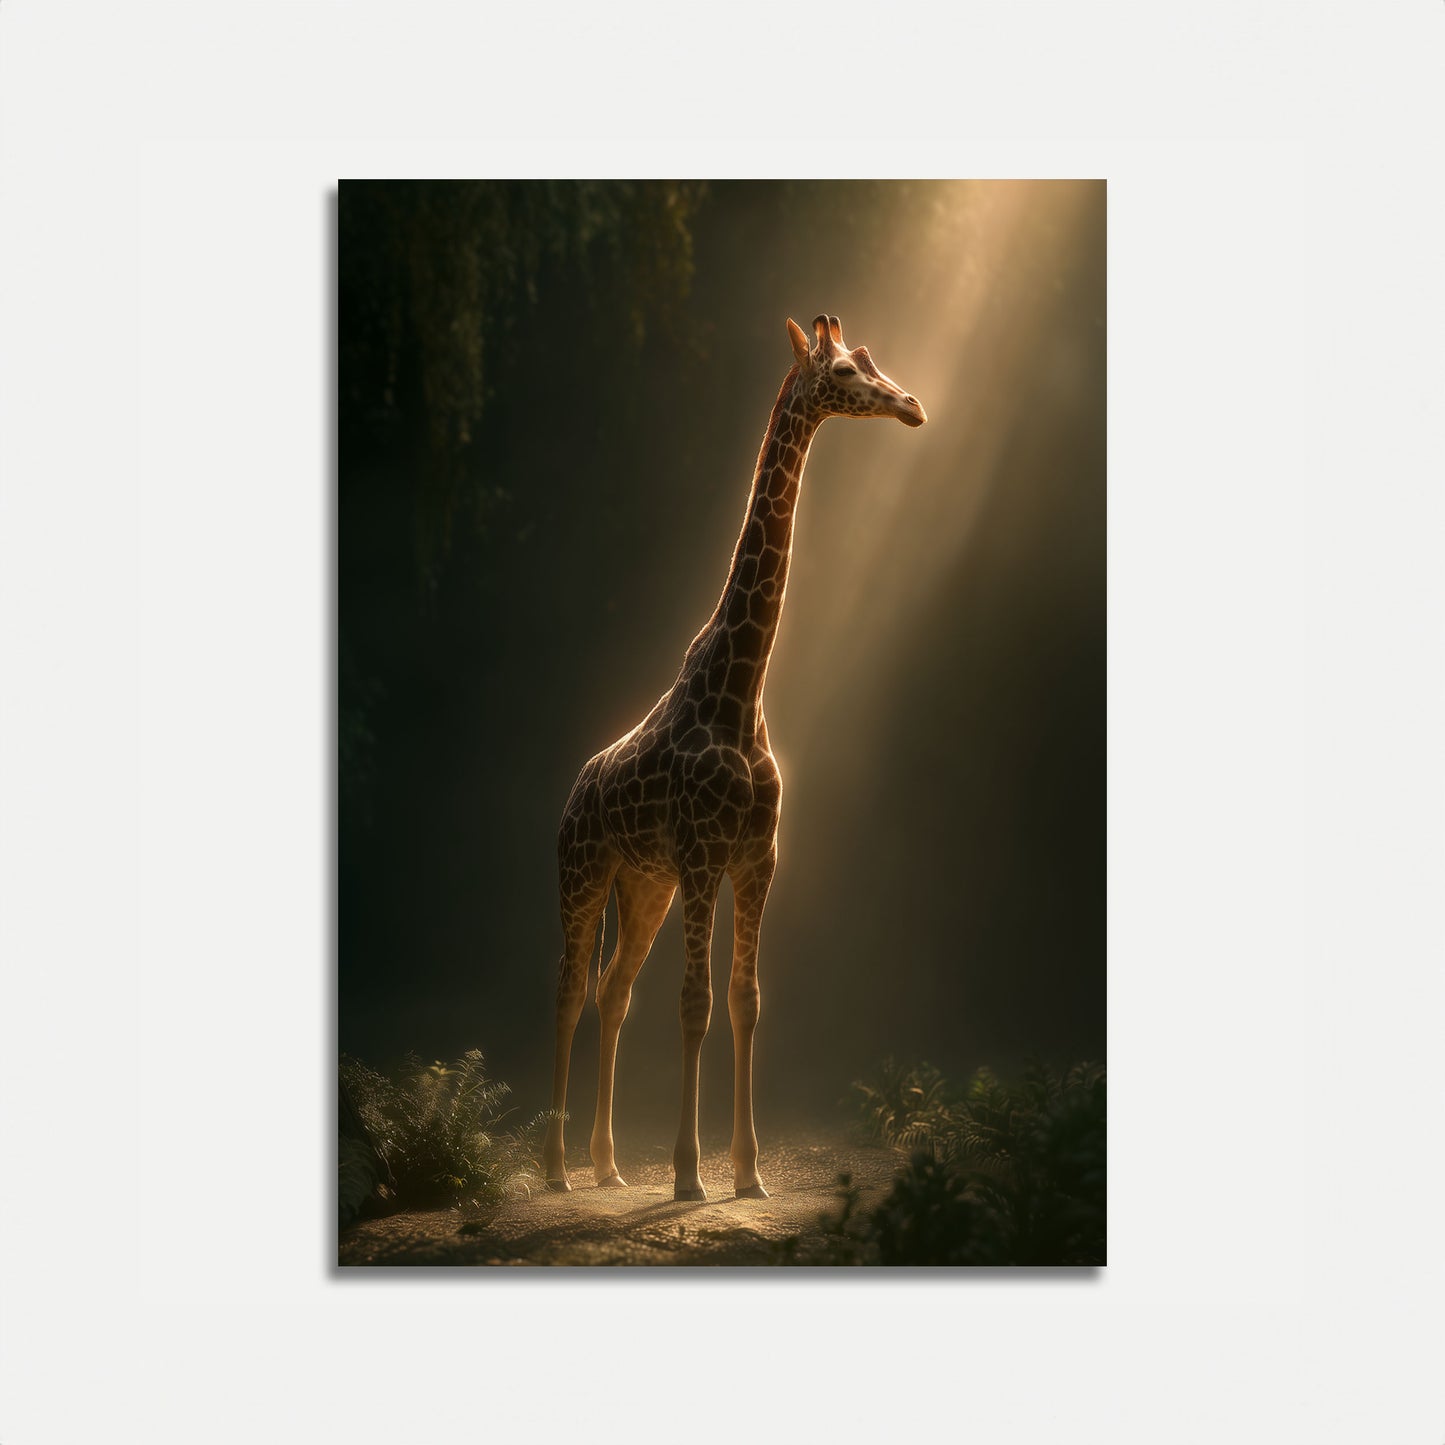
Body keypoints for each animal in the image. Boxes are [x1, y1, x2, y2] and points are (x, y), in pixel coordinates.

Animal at [542, 313, 926, 1201]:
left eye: (870, 359)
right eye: (845, 371)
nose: (911, 405)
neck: (741, 684)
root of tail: (574, 788)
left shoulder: (755, 857)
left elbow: (745, 999)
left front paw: (748, 1172)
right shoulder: (702, 853)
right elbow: (694, 1002)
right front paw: (689, 1175)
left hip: (641, 884)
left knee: (613, 992)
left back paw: (608, 1165)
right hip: (584, 873)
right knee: (569, 992)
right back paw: (556, 1169)